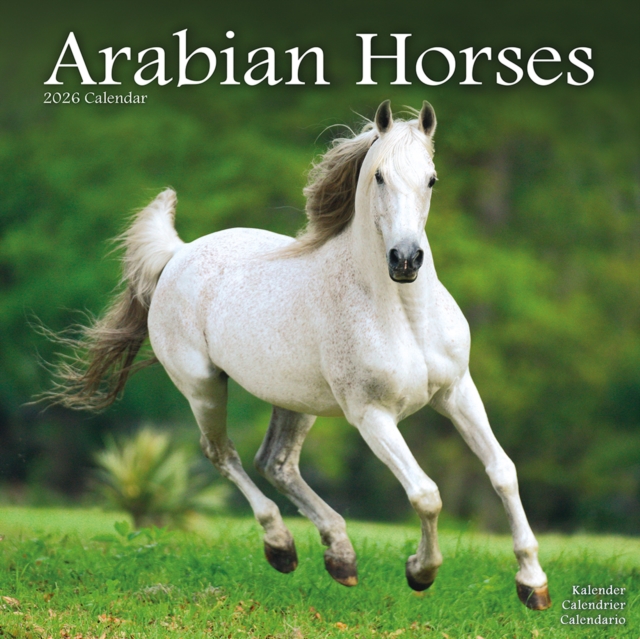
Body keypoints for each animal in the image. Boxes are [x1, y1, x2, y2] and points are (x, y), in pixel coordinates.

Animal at [47, 100, 551, 610]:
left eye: (431, 178)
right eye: (380, 177)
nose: (405, 259)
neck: (404, 316)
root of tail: (178, 253)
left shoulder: (457, 391)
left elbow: (502, 472)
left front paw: (532, 583)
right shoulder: (371, 415)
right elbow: (426, 494)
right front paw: (420, 572)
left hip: (295, 400)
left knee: (276, 462)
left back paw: (340, 557)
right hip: (204, 388)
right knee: (223, 454)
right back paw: (282, 547)